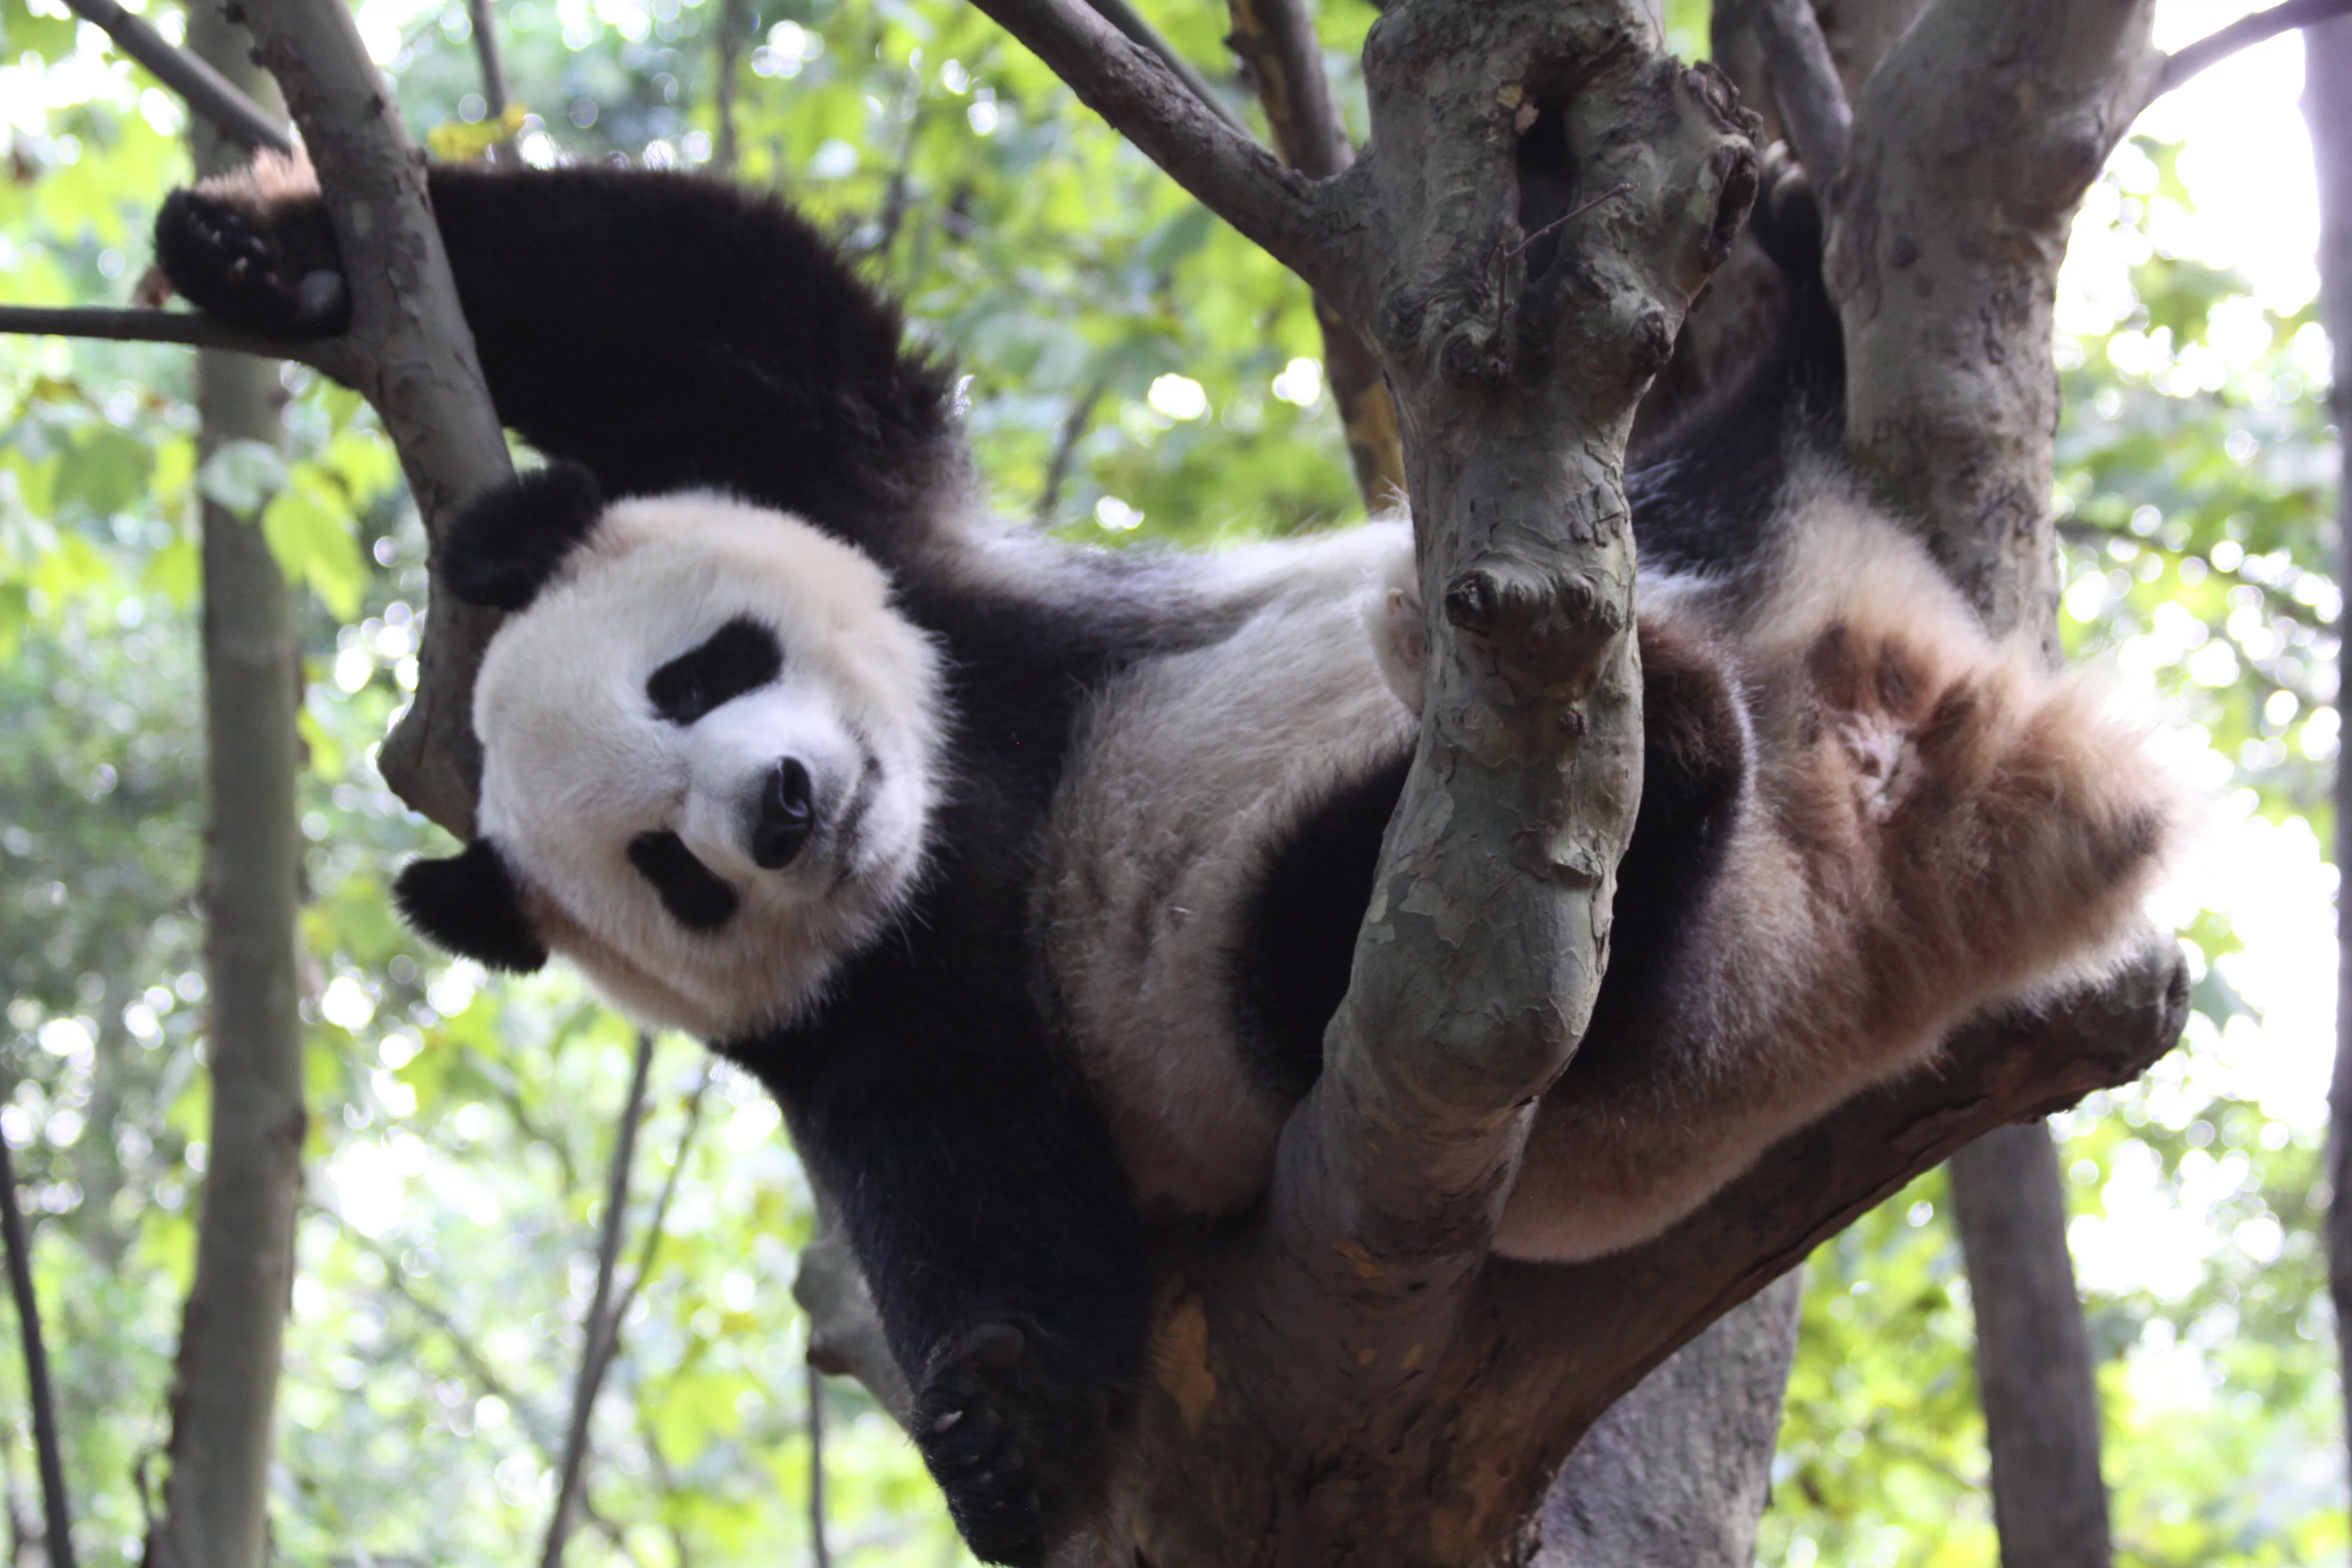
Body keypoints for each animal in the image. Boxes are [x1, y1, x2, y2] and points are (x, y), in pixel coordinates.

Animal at [154, 155, 2181, 1566]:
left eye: (703, 673)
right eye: (672, 866)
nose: (787, 806)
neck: (961, 805)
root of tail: (1930, 804)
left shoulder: (941, 582)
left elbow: (740, 335)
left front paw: (260, 249)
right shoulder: (900, 1012)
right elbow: (997, 1206)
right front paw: (1001, 1428)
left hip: (1703, 532)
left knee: (1716, 456)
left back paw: (1773, 289)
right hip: (1615, 1043)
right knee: (1373, 962)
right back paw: (1671, 753)